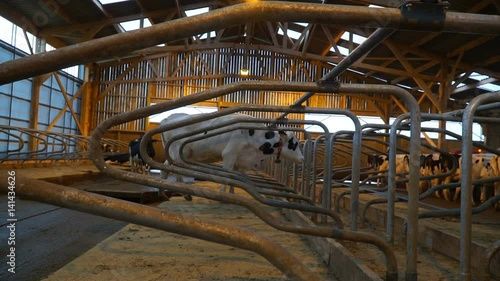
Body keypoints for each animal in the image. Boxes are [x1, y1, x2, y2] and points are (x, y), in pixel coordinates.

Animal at [160, 112, 304, 192]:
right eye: (294, 144)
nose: (302, 159)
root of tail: (167, 119)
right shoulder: (229, 155)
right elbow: (228, 177)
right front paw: (224, 194)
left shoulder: (242, 162)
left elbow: (238, 178)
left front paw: (232, 193)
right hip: (178, 152)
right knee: (175, 169)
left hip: (172, 152)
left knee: (165, 167)